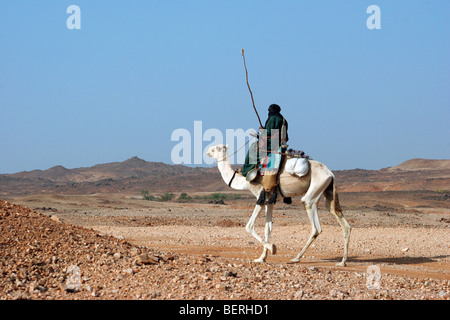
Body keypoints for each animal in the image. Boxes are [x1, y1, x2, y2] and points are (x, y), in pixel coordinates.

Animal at [207, 145, 352, 264]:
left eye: (214, 149)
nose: (207, 152)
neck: (245, 181)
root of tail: (330, 173)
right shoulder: (270, 200)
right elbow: (268, 228)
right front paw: (261, 258)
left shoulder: (260, 196)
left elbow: (249, 226)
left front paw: (272, 248)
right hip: (326, 191)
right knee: (340, 219)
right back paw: (342, 261)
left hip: (314, 190)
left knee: (315, 223)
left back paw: (296, 258)